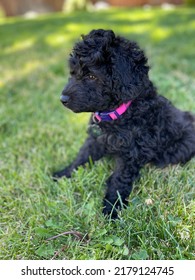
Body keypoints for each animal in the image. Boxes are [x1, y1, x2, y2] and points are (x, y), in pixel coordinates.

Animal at [53, 29, 195, 219]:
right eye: (73, 72)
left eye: (91, 76)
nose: (63, 99)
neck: (118, 112)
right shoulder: (95, 139)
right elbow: (82, 157)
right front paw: (63, 174)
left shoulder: (131, 152)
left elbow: (119, 180)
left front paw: (111, 208)